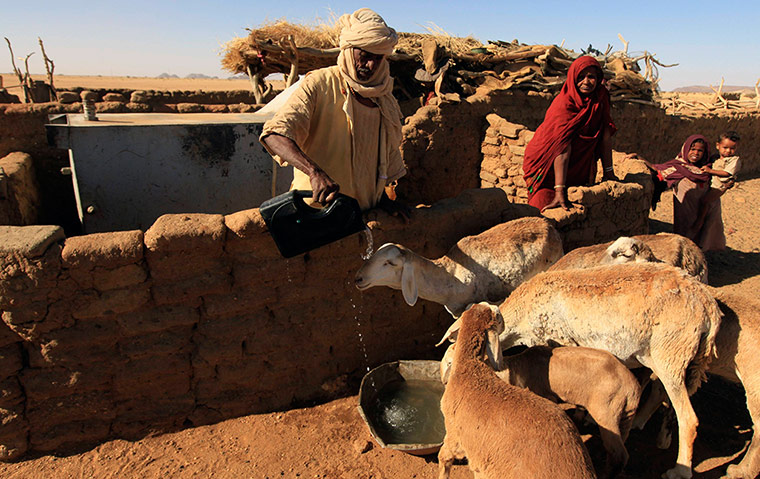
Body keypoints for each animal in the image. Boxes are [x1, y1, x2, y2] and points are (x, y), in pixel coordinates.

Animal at [496, 262, 720, 479]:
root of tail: (709, 309)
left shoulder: (560, 340)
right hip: (667, 358)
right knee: (659, 392)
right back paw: (642, 423)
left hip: (671, 356)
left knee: (688, 418)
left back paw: (680, 471)